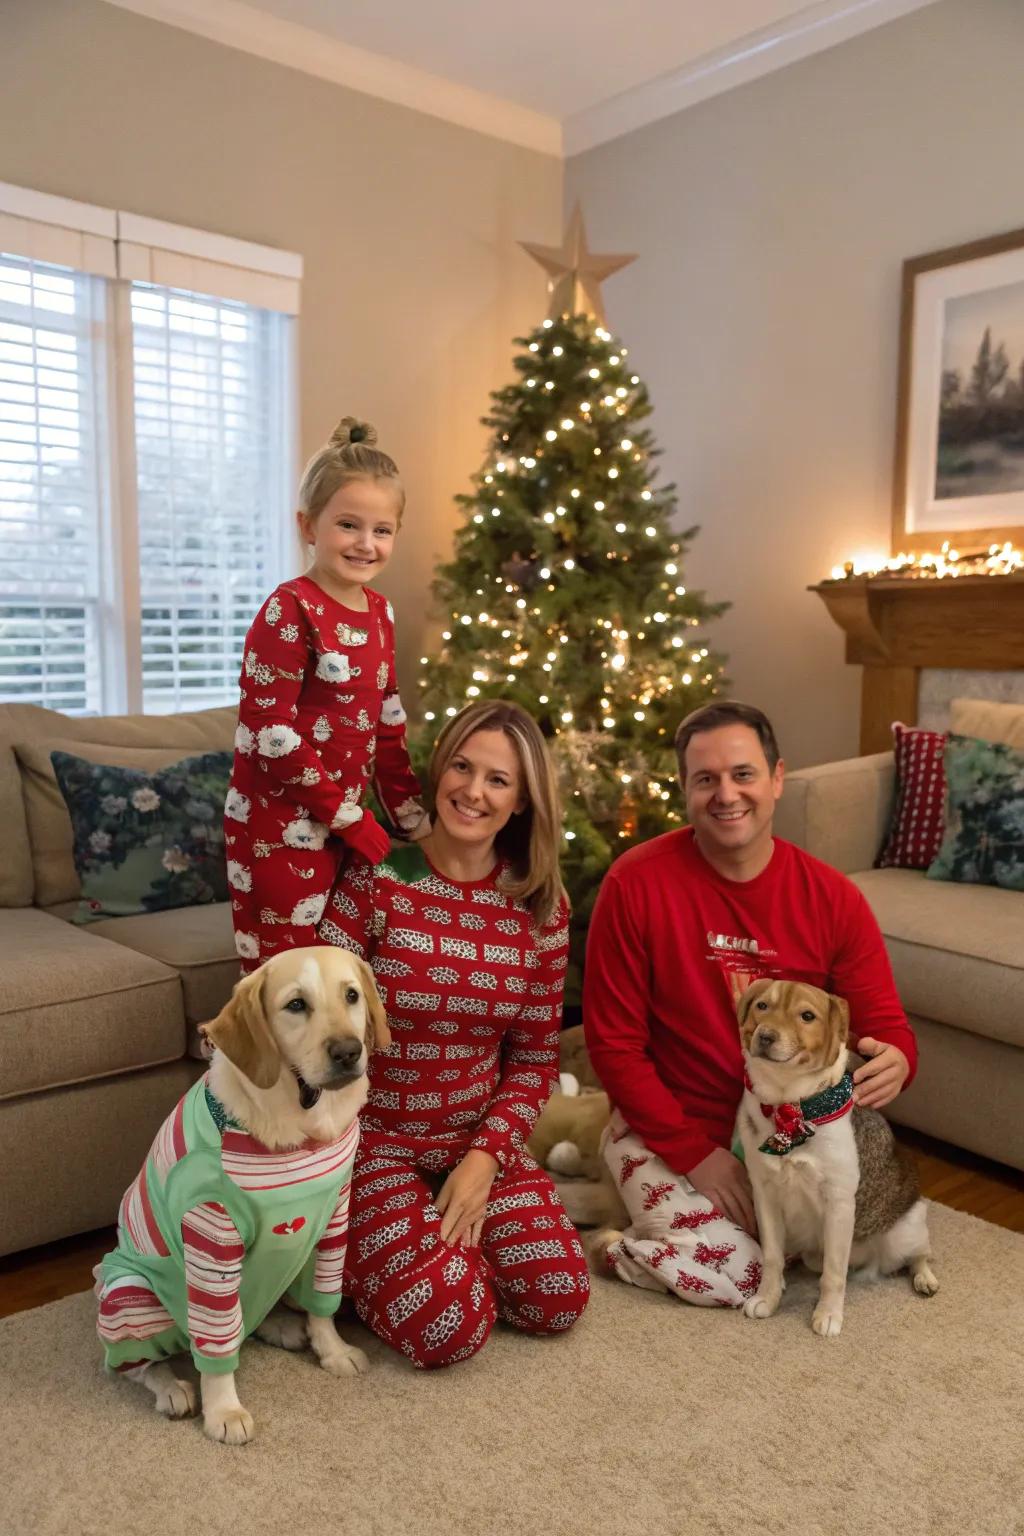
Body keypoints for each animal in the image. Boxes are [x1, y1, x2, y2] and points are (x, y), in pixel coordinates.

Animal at [736, 983, 939, 1333]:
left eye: (807, 1016)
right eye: (762, 1006)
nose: (765, 1036)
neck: (788, 1105)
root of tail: (874, 1262)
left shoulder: (839, 1203)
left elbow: (834, 1273)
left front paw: (828, 1315)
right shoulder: (764, 1195)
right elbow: (772, 1257)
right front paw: (768, 1297)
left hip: (907, 1229)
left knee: (918, 1255)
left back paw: (925, 1277)